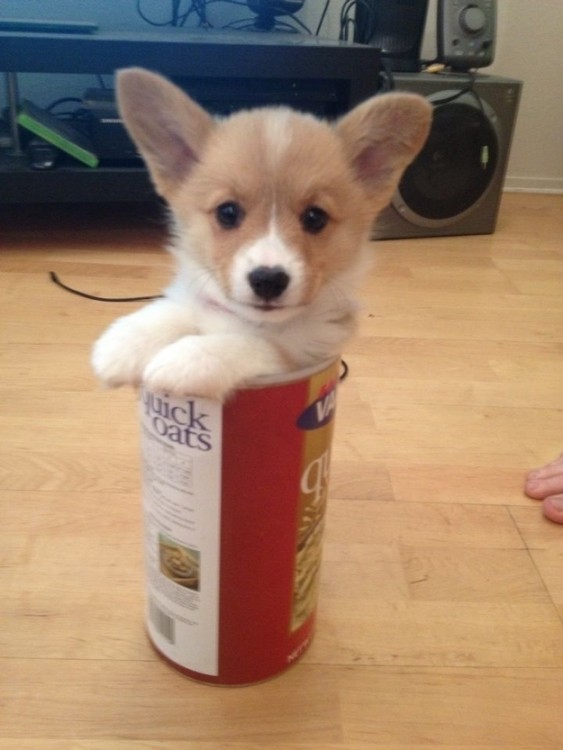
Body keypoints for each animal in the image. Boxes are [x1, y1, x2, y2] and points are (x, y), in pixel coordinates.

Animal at [91, 67, 432, 402]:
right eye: (228, 212)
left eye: (315, 217)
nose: (268, 280)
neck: (251, 320)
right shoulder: (200, 299)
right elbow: (178, 308)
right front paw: (125, 342)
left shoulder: (304, 350)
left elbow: (253, 343)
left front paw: (185, 360)